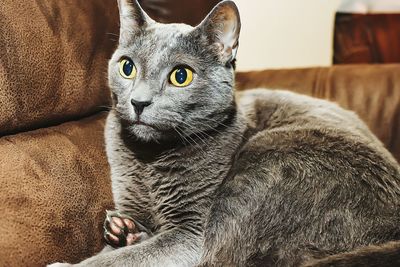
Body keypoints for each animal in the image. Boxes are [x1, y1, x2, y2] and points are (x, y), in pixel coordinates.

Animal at [49, 0, 400, 267]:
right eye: (127, 67)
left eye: (181, 76)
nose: (138, 101)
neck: (149, 160)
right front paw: (125, 232)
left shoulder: (193, 233)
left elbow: (120, 259)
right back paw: (126, 231)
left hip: (264, 160)